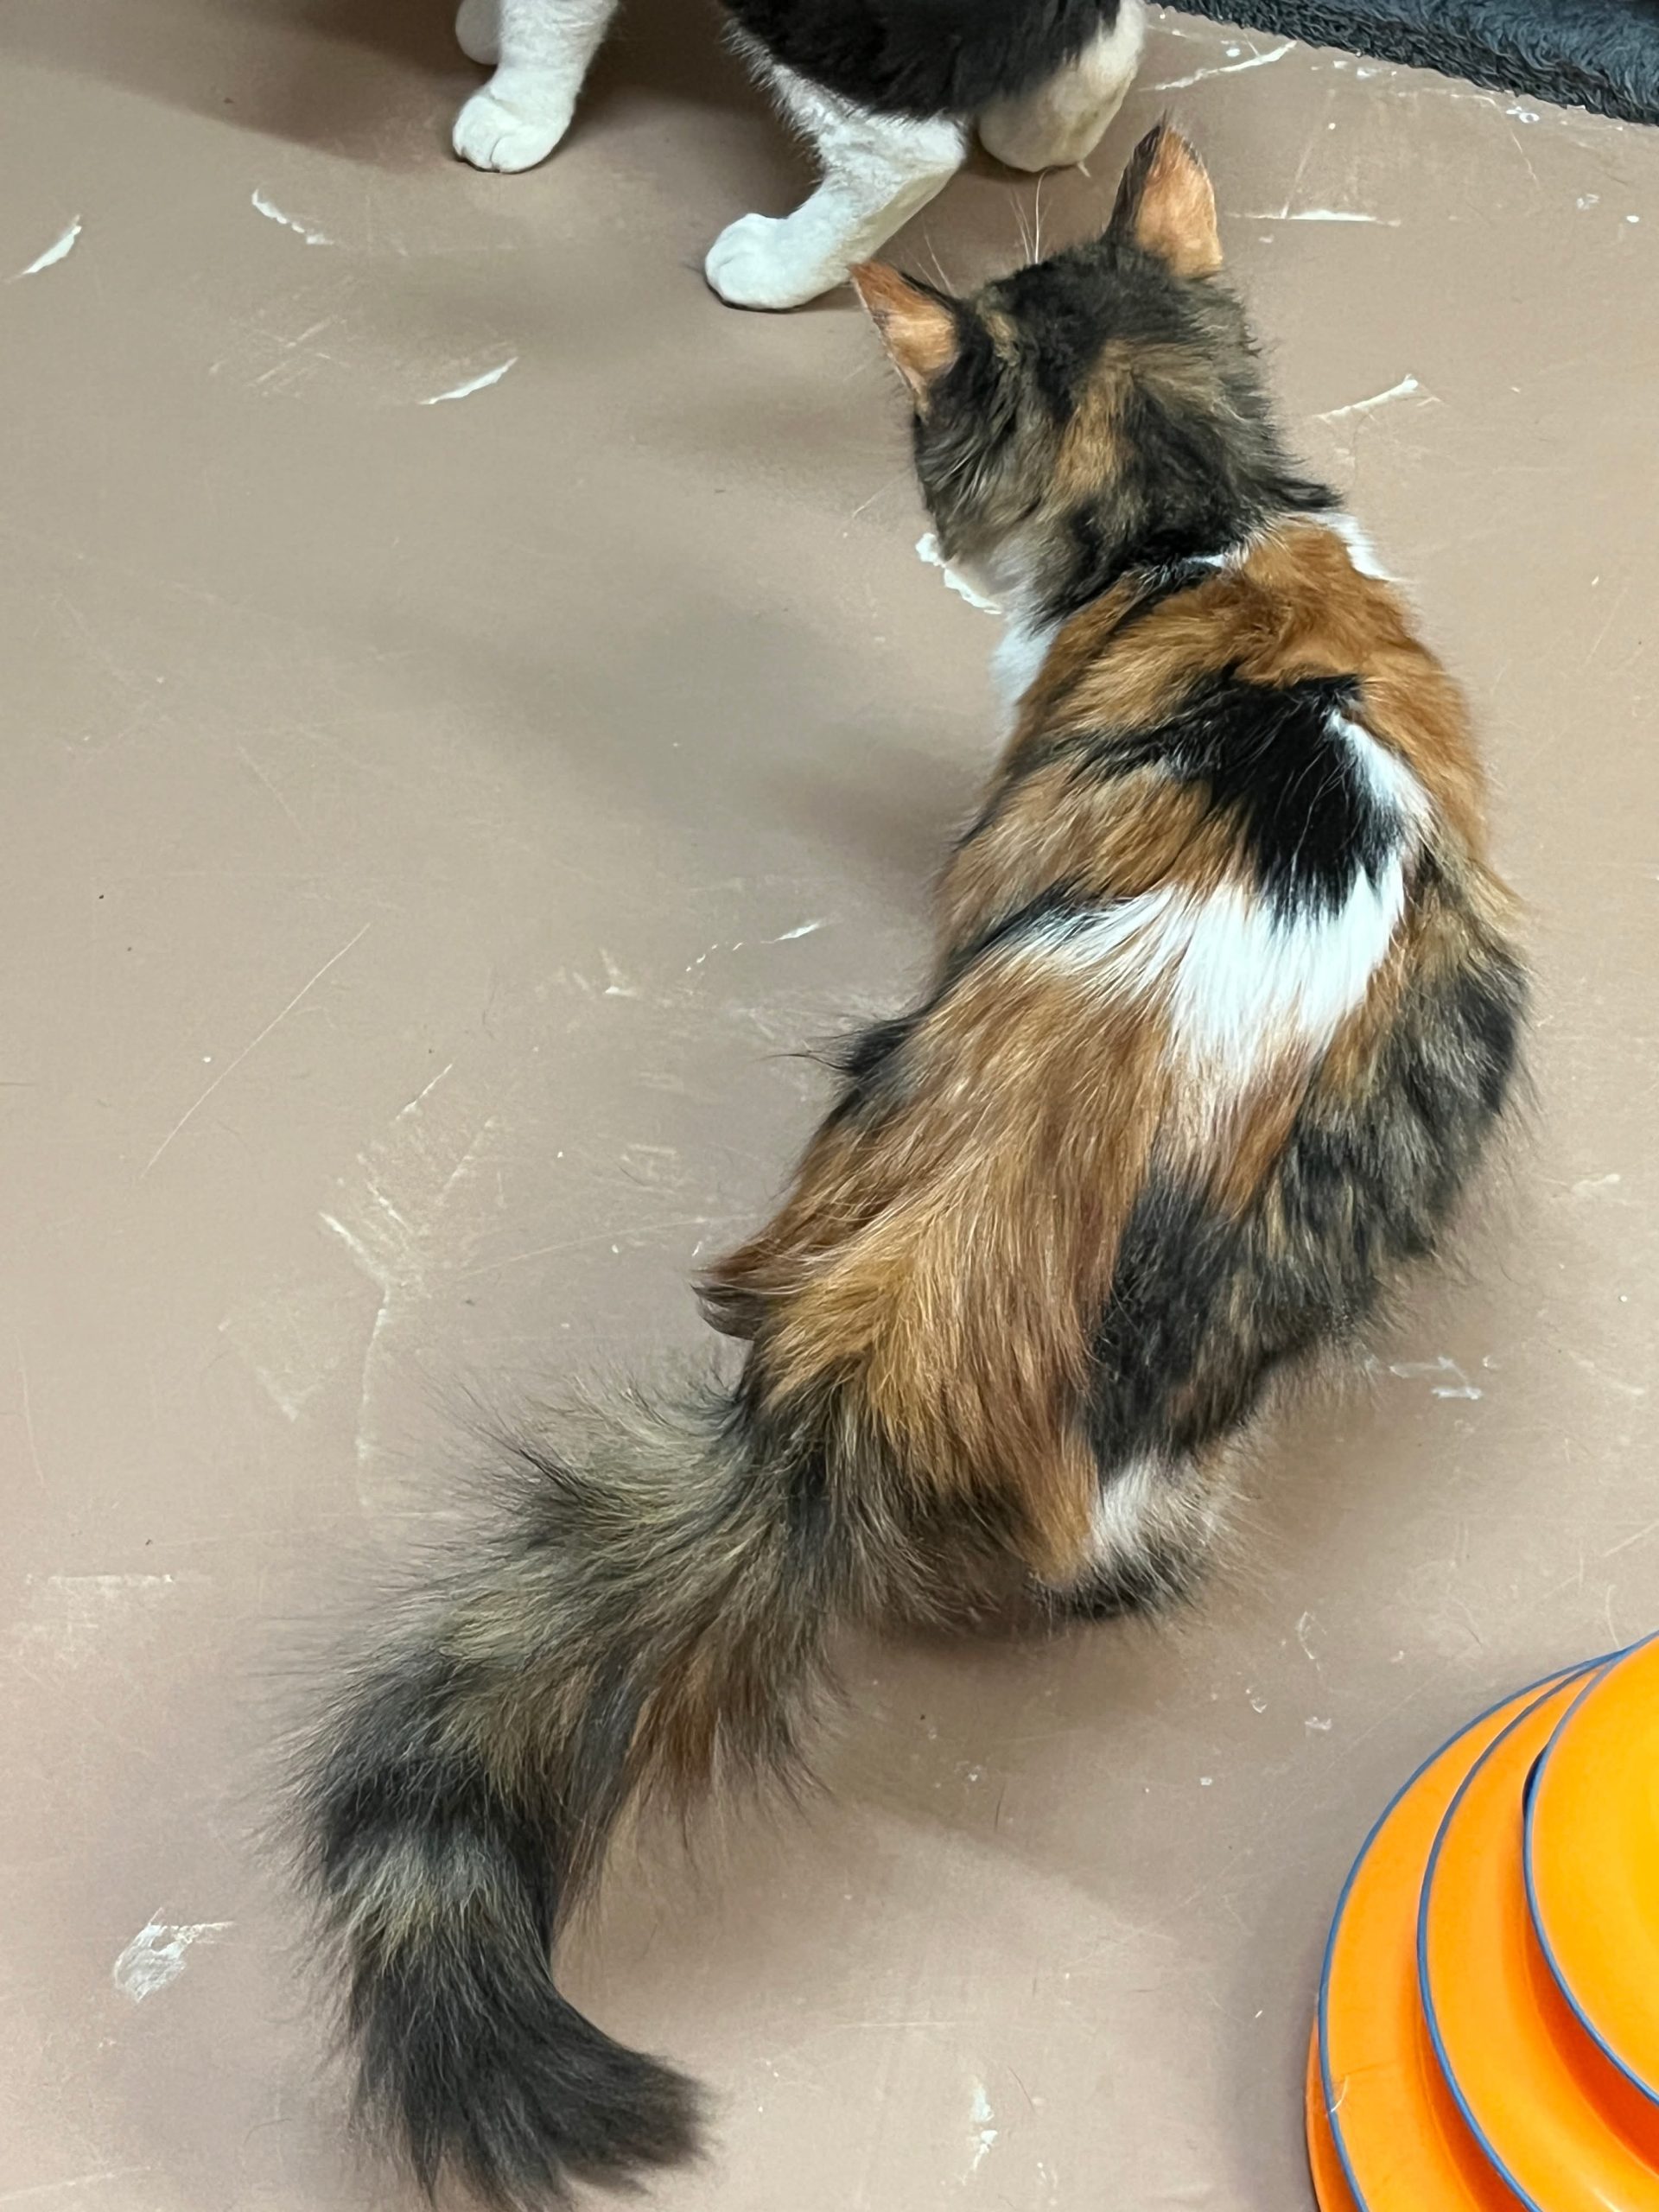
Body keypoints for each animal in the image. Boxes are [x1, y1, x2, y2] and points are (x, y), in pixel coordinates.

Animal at [450, 0, 1147, 307]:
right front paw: (484, 26)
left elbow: (547, 22)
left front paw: (517, 109)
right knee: (1109, 46)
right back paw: (1035, 138)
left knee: (907, 154)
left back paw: (776, 266)